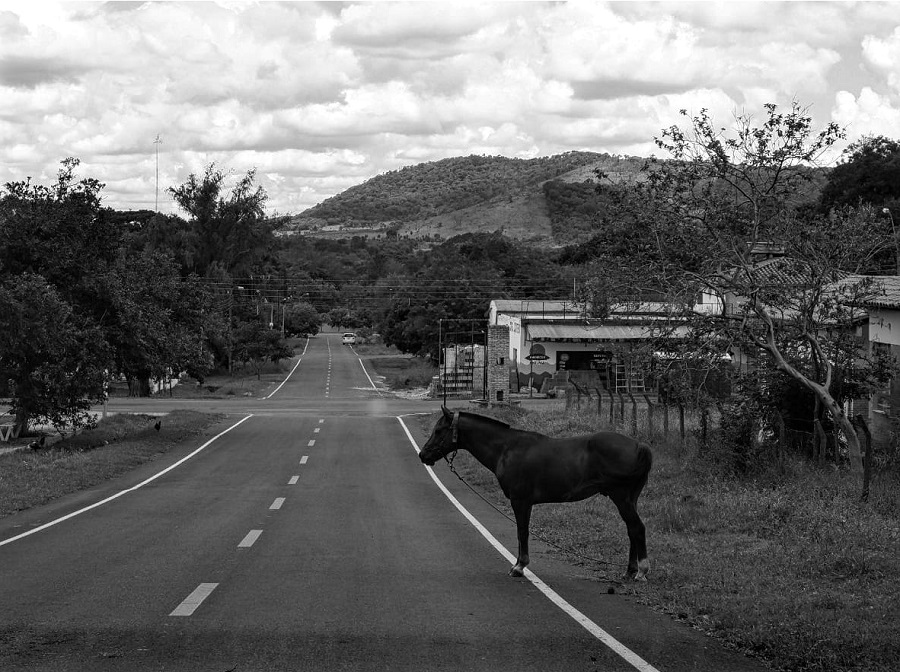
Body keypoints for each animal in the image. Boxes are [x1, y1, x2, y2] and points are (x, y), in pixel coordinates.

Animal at [418, 406, 652, 580]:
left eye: (438, 431)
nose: (423, 455)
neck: (507, 449)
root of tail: (639, 445)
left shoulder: (521, 501)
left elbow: (522, 532)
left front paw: (519, 567)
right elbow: (520, 532)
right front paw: (517, 564)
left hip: (621, 497)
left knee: (637, 528)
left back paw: (641, 571)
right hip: (630, 499)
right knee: (631, 530)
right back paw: (630, 571)